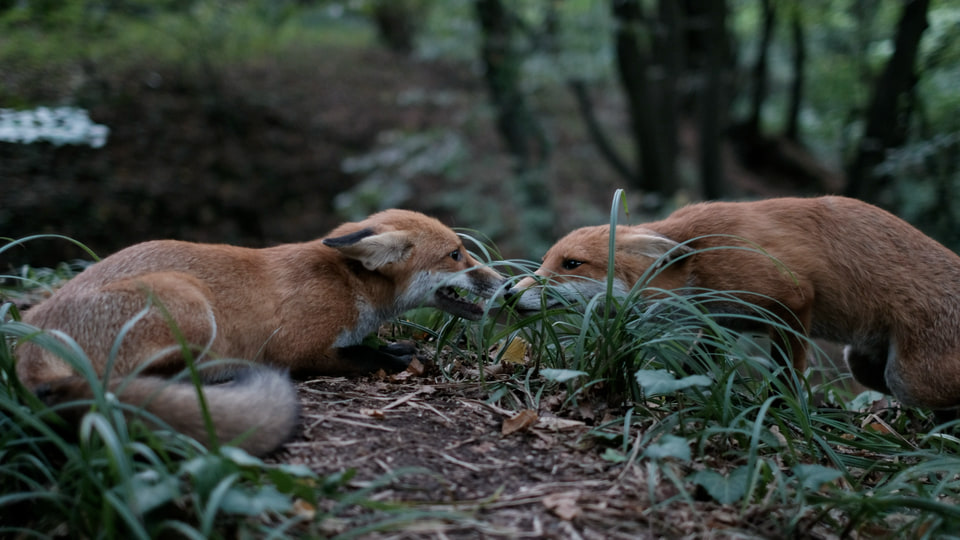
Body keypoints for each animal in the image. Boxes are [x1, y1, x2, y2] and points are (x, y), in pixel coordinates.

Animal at [17, 209, 504, 455]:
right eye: (456, 255)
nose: (504, 281)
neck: (346, 283)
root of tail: (33, 340)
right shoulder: (297, 346)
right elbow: (361, 355)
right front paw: (392, 356)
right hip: (190, 302)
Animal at [508, 196, 960, 411]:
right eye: (545, 261)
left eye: (571, 264)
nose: (510, 291)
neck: (703, 260)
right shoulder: (720, 320)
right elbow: (688, 370)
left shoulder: (794, 297)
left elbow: (785, 376)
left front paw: (782, 411)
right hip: (865, 366)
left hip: (909, 379)